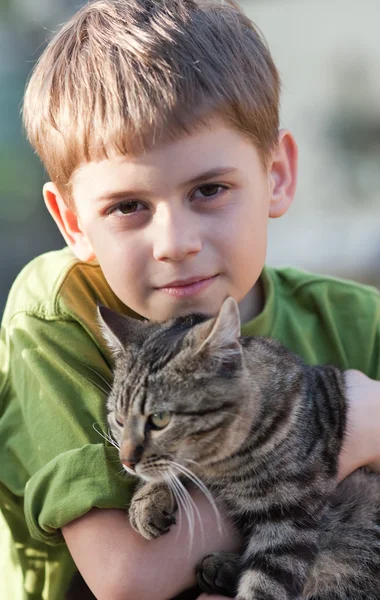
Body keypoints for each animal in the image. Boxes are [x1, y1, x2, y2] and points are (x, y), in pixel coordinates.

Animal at [97, 298, 380, 600]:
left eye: (160, 419)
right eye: (119, 419)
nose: (126, 461)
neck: (223, 466)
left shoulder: (293, 514)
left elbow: (265, 585)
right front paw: (147, 500)